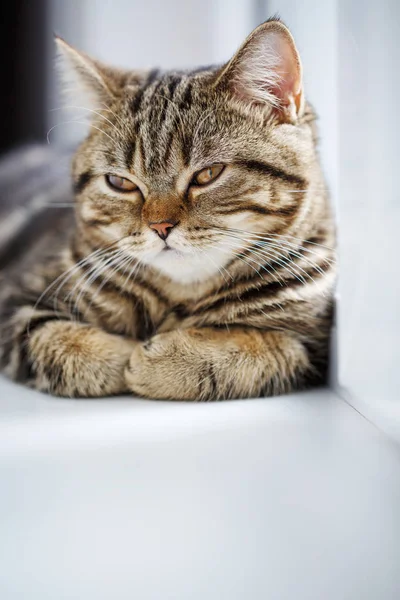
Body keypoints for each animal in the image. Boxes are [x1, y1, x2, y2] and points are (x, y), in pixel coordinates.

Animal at [0, 18, 336, 400]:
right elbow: (58, 342)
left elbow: (256, 350)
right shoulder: (15, 301)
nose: (160, 226)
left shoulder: (311, 345)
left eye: (208, 174)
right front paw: (121, 353)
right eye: (120, 183)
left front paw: (167, 359)